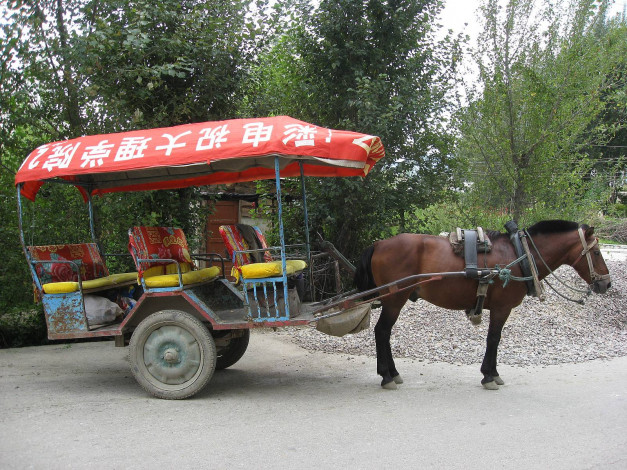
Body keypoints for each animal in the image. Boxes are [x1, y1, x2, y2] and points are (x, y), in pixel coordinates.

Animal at [356, 220, 612, 390]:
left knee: (384, 333)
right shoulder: (501, 308)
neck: (519, 254)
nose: (606, 283)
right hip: (394, 300)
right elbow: (494, 338)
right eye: (597, 252)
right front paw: (490, 375)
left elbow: (494, 339)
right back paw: (387, 376)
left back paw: (392, 372)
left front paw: (490, 373)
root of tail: (379, 243)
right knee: (382, 332)